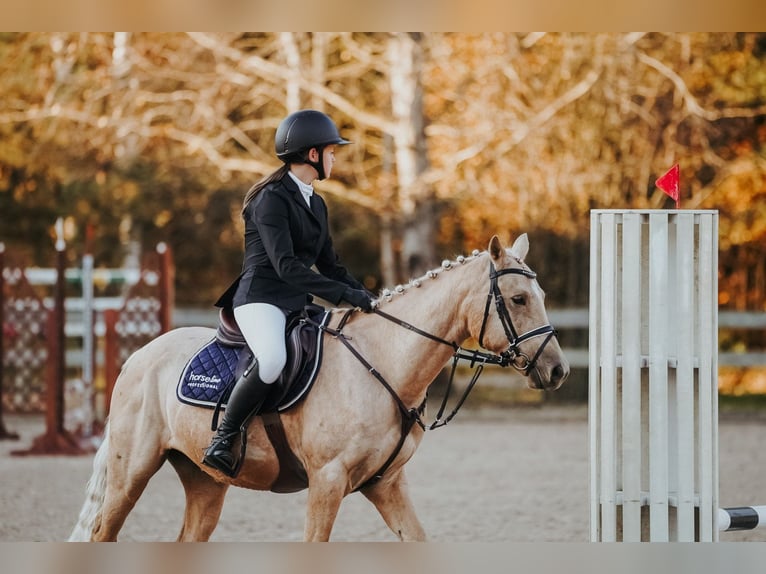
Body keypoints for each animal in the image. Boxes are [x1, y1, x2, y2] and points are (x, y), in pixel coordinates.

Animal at [67, 232, 568, 544]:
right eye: (519, 299)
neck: (383, 362)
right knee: (104, 533)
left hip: (205, 480)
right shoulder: (326, 482)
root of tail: (138, 356)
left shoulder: (387, 485)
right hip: (132, 473)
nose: (558, 370)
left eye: (540, 297)